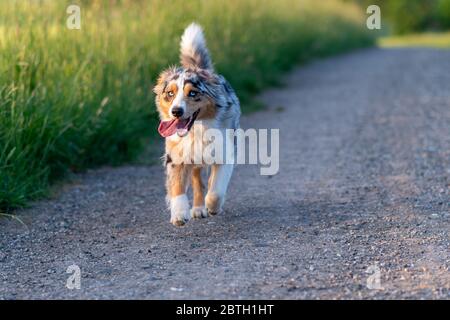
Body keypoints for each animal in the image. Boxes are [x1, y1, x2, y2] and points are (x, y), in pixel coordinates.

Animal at [153, 23, 241, 228]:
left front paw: (213, 206)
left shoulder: (225, 153)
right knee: (196, 180)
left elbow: (216, 188)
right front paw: (179, 214)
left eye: (192, 93)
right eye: (170, 93)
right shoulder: (175, 156)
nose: (176, 111)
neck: (196, 131)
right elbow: (177, 186)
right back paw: (198, 209)